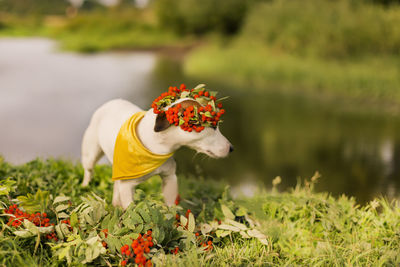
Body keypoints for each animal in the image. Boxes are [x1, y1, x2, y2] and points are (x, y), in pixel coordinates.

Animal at [80, 98, 233, 209]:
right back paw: (85, 186)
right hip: (91, 154)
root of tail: (111, 102)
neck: (157, 145)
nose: (231, 148)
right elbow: (130, 210)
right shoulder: (127, 187)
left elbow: (171, 206)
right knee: (89, 170)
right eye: (213, 126)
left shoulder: (170, 178)